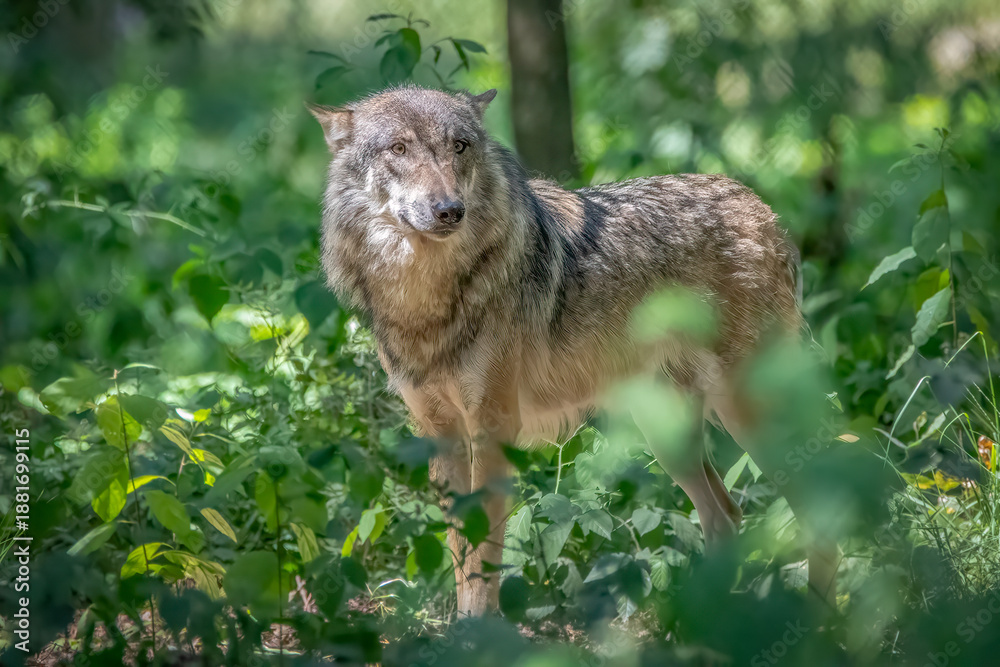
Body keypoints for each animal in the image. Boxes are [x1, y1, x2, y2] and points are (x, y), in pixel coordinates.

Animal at [309, 85, 836, 617]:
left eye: (459, 146)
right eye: (398, 148)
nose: (449, 210)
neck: (427, 299)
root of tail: (763, 212)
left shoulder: (494, 427)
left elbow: (483, 554)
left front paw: (479, 626)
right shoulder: (440, 433)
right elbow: (461, 552)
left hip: (748, 416)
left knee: (822, 510)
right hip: (669, 437)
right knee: (726, 516)